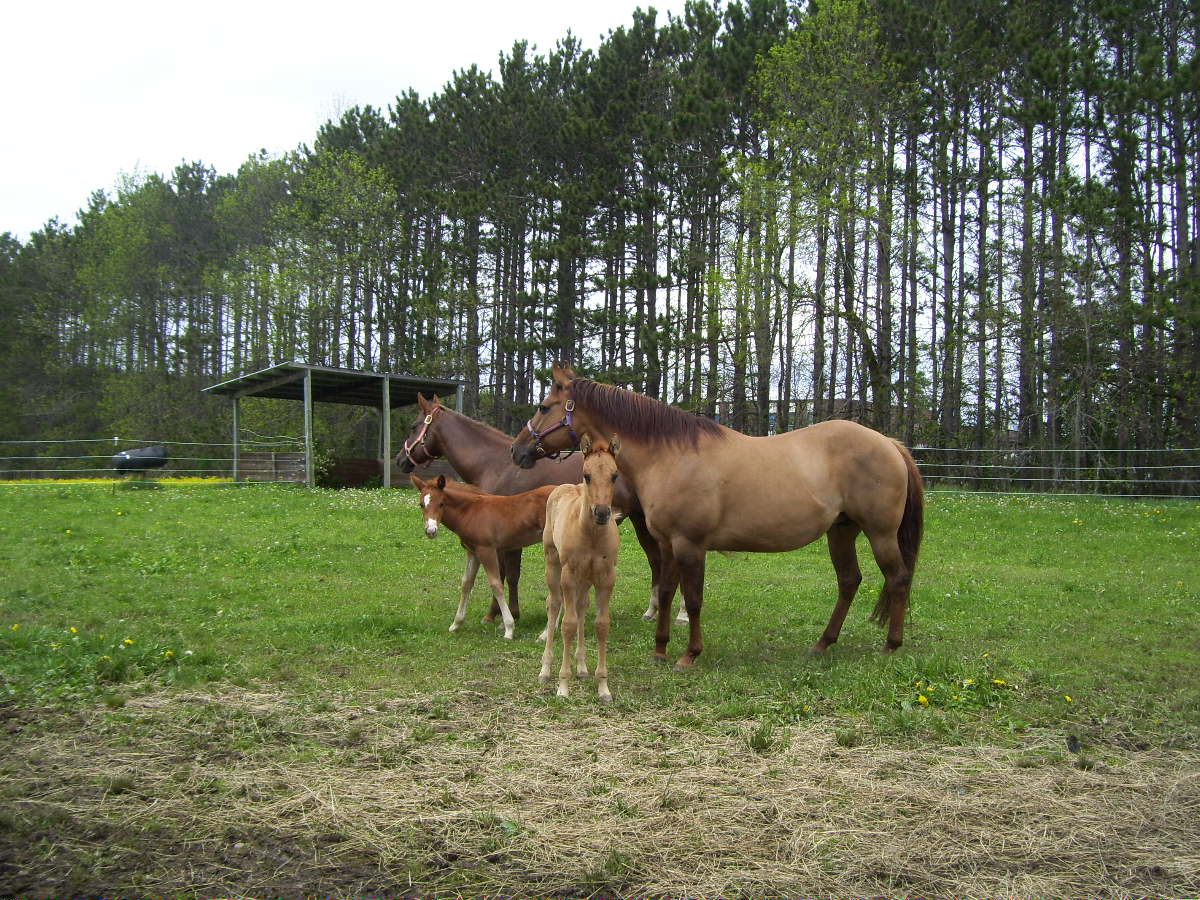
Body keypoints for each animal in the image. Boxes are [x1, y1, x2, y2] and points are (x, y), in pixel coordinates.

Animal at [405, 472, 549, 643]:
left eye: (441, 504)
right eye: (421, 504)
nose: (431, 531)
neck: (471, 511)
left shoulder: (486, 550)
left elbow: (496, 584)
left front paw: (509, 628)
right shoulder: (473, 552)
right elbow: (466, 583)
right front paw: (456, 624)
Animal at [511, 364, 921, 672]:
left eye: (544, 406)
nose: (518, 450)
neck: (670, 456)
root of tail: (888, 443)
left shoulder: (690, 545)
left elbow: (693, 599)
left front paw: (689, 655)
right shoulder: (667, 543)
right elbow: (666, 590)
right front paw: (659, 649)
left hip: (880, 533)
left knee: (897, 579)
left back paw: (891, 646)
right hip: (842, 532)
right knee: (849, 581)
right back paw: (823, 643)